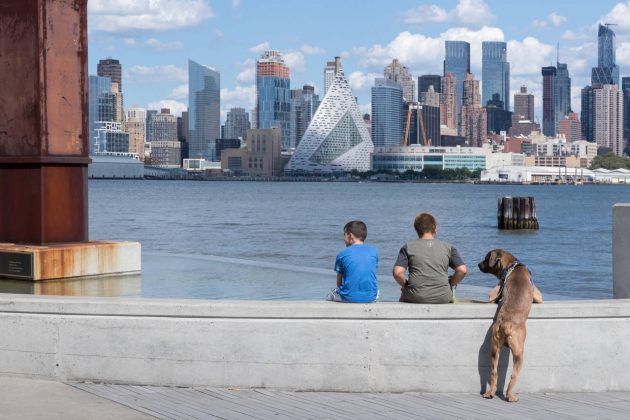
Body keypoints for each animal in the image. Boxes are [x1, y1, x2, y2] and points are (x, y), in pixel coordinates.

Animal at [478, 249, 544, 404]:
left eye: (485, 258)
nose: (478, 264)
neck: (512, 265)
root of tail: (506, 324)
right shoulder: (538, 294)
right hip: (519, 353)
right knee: (513, 376)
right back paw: (510, 396)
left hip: (494, 350)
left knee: (494, 373)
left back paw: (490, 393)